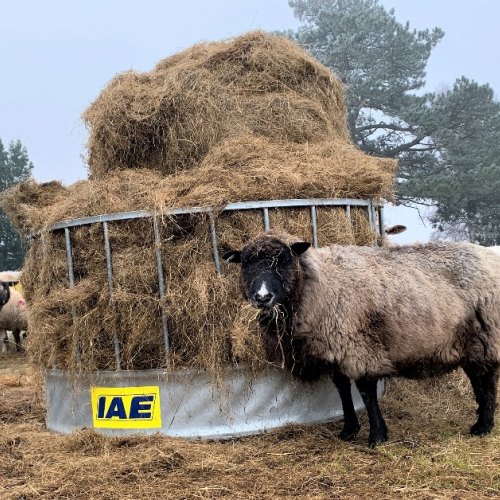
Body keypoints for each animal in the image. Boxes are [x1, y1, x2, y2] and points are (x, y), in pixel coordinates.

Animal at [225, 232, 500, 448]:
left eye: (284, 260)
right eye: (245, 263)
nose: (262, 297)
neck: (322, 285)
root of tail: (490, 253)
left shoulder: (358, 347)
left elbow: (367, 394)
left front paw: (377, 436)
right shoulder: (335, 351)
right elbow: (342, 391)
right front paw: (348, 431)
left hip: (487, 336)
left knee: (488, 380)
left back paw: (483, 426)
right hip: (471, 343)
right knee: (479, 380)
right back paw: (481, 417)